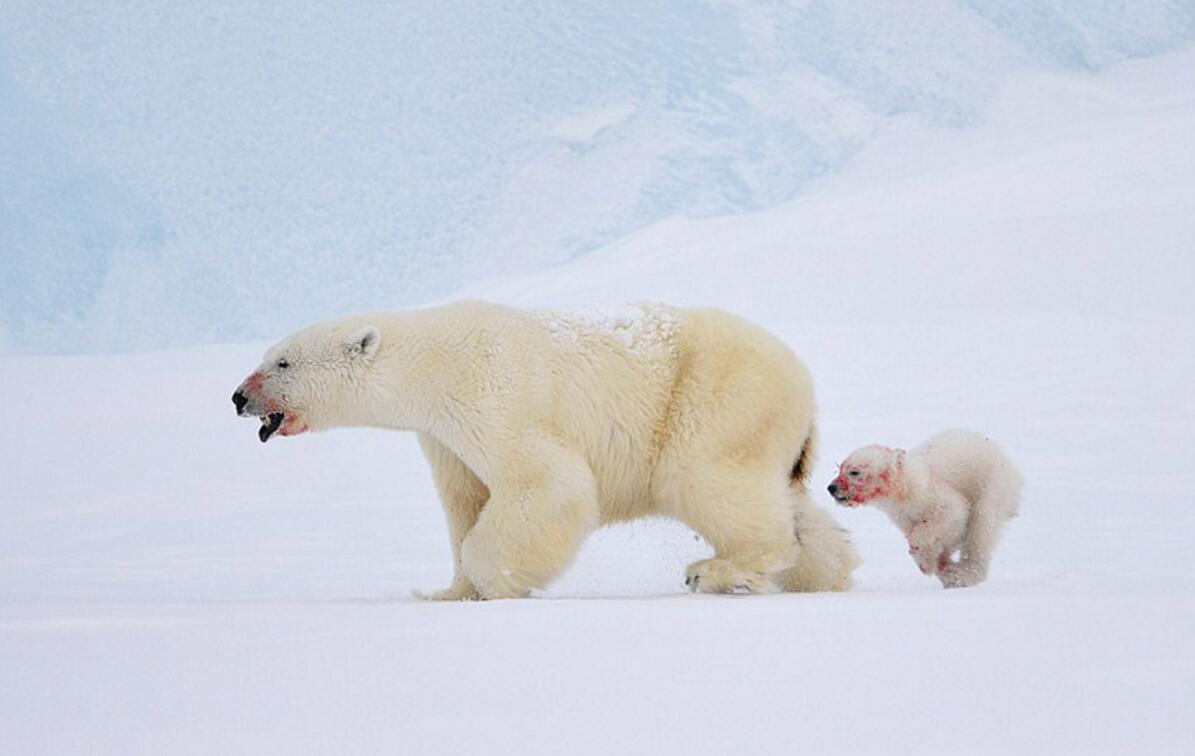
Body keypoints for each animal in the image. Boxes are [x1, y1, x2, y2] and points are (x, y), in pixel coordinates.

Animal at [230, 297, 860, 599]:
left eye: (281, 362)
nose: (238, 397)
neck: (431, 363)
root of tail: (804, 385)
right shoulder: (444, 438)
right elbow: (465, 502)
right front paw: (445, 592)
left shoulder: (492, 395)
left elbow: (547, 483)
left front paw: (499, 581)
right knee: (788, 503)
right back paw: (826, 572)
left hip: (717, 401)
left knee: (706, 478)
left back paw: (718, 571)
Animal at [831, 429, 1018, 582]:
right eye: (840, 468)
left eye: (854, 472)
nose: (831, 488)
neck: (906, 486)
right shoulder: (901, 515)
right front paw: (934, 561)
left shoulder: (929, 492)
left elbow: (955, 511)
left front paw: (927, 564)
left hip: (993, 484)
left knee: (982, 526)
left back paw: (966, 574)